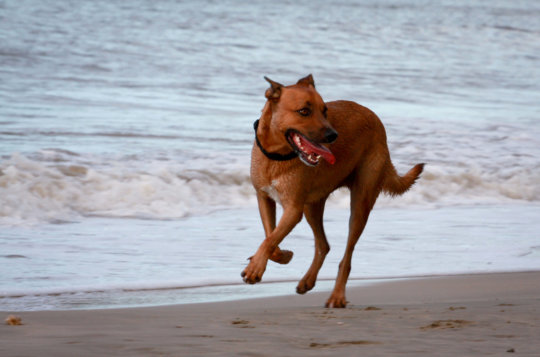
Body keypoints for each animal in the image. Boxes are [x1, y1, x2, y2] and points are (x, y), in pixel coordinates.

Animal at [243, 74, 424, 306]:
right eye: (304, 111)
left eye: (325, 110)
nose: (333, 135)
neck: (276, 156)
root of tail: (376, 118)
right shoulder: (264, 198)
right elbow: (271, 238)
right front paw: (279, 257)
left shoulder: (293, 210)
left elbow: (270, 239)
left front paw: (255, 268)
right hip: (312, 206)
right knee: (324, 244)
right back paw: (308, 280)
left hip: (360, 204)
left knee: (347, 256)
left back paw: (337, 295)